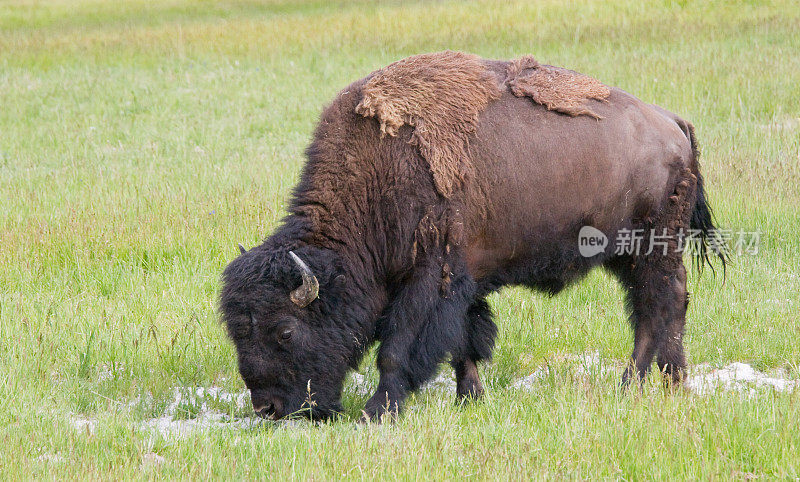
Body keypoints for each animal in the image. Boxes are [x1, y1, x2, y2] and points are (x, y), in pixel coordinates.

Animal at [220, 50, 724, 420]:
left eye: (285, 331)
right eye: (237, 332)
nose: (269, 409)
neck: (380, 174)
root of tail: (672, 122)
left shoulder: (431, 279)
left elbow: (399, 350)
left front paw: (377, 411)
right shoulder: (464, 282)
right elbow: (464, 342)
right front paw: (470, 398)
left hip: (651, 248)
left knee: (658, 306)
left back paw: (633, 384)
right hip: (635, 253)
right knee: (665, 305)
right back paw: (671, 382)